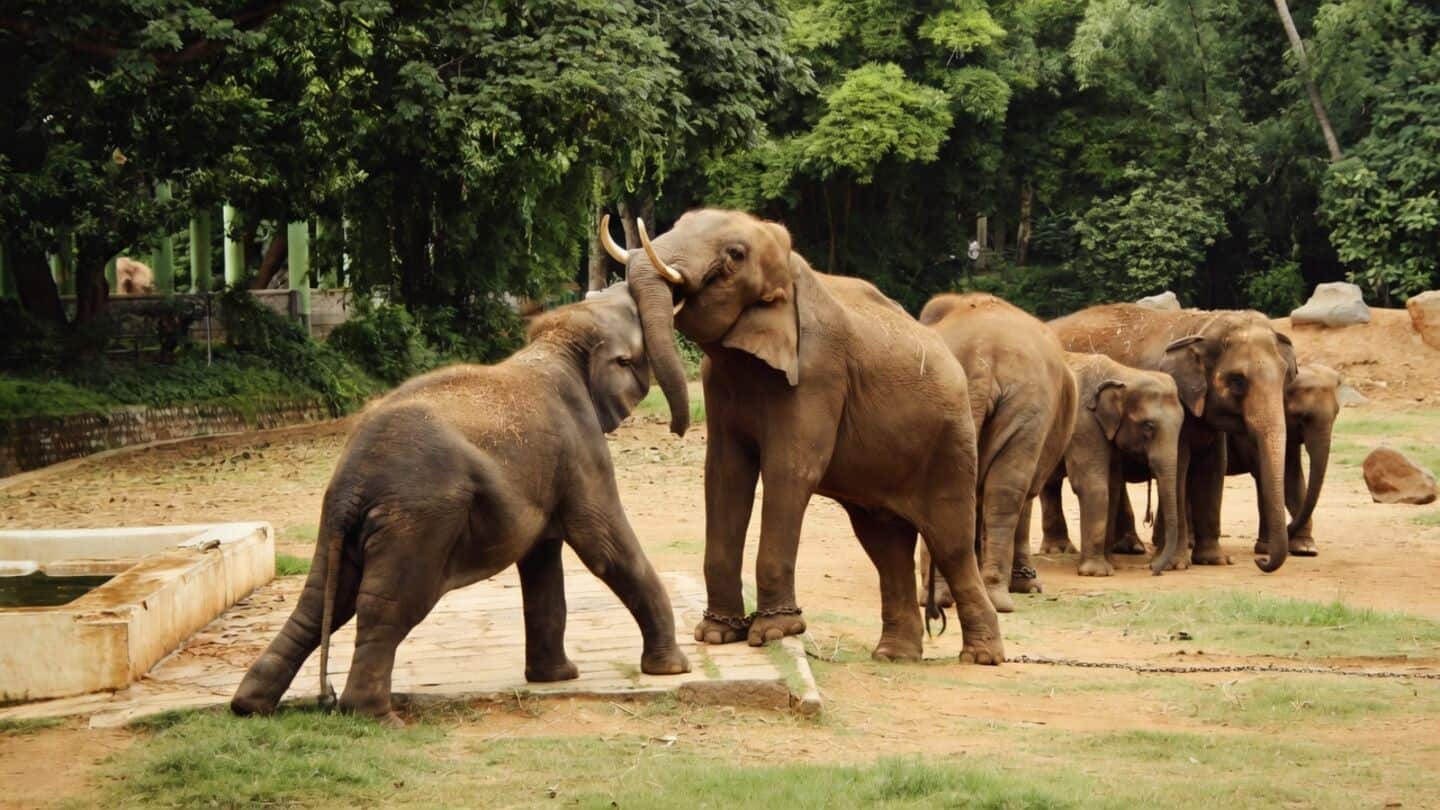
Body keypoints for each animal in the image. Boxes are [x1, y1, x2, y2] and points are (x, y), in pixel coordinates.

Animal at [231, 284, 690, 724]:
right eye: (635, 332)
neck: (557, 344)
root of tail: (352, 483)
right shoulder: (580, 449)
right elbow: (604, 547)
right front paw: (672, 669)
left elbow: (541, 561)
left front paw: (557, 677)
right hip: (419, 520)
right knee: (388, 604)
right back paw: (376, 718)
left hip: (337, 524)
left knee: (319, 602)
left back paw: (250, 706)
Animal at [606, 209, 1002, 665]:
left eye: (734, 255)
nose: (674, 428)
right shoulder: (719, 381)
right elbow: (725, 474)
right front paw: (717, 634)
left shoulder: (818, 373)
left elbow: (790, 471)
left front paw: (775, 632)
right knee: (885, 546)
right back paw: (893, 656)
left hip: (950, 443)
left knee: (950, 543)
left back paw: (981, 657)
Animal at [915, 293, 1077, 612]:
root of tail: (982, 361)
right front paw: (1028, 586)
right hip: (1028, 407)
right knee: (1008, 492)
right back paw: (995, 597)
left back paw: (942, 597)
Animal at [1037, 353, 1186, 577]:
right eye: (1148, 426)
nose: (1153, 569)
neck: (1123, 373)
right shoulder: (1083, 422)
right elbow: (1092, 484)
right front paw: (1097, 572)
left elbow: (1113, 486)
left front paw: (1111, 564)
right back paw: (1054, 551)